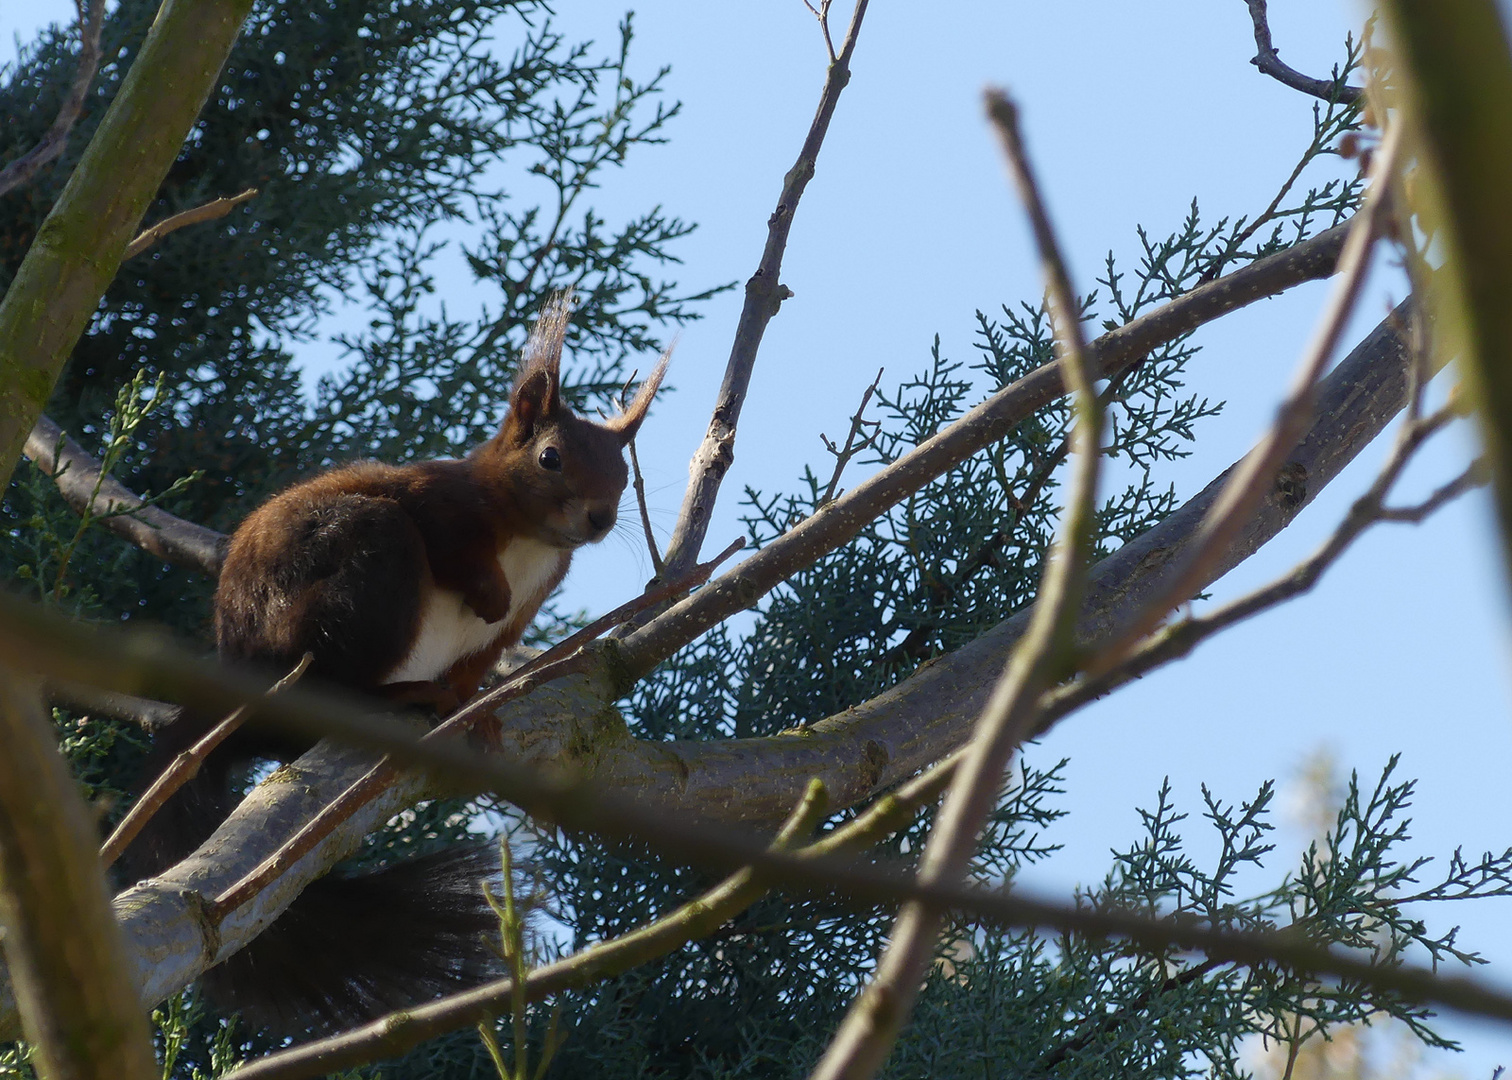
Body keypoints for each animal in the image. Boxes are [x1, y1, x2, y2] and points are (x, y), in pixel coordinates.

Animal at [127, 291, 671, 1028]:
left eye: (623, 470)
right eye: (551, 457)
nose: (600, 517)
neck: (528, 541)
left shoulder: (522, 613)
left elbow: (479, 662)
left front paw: (479, 714)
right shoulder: (435, 500)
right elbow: (448, 543)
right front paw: (486, 592)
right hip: (355, 574)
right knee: (340, 665)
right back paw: (395, 696)